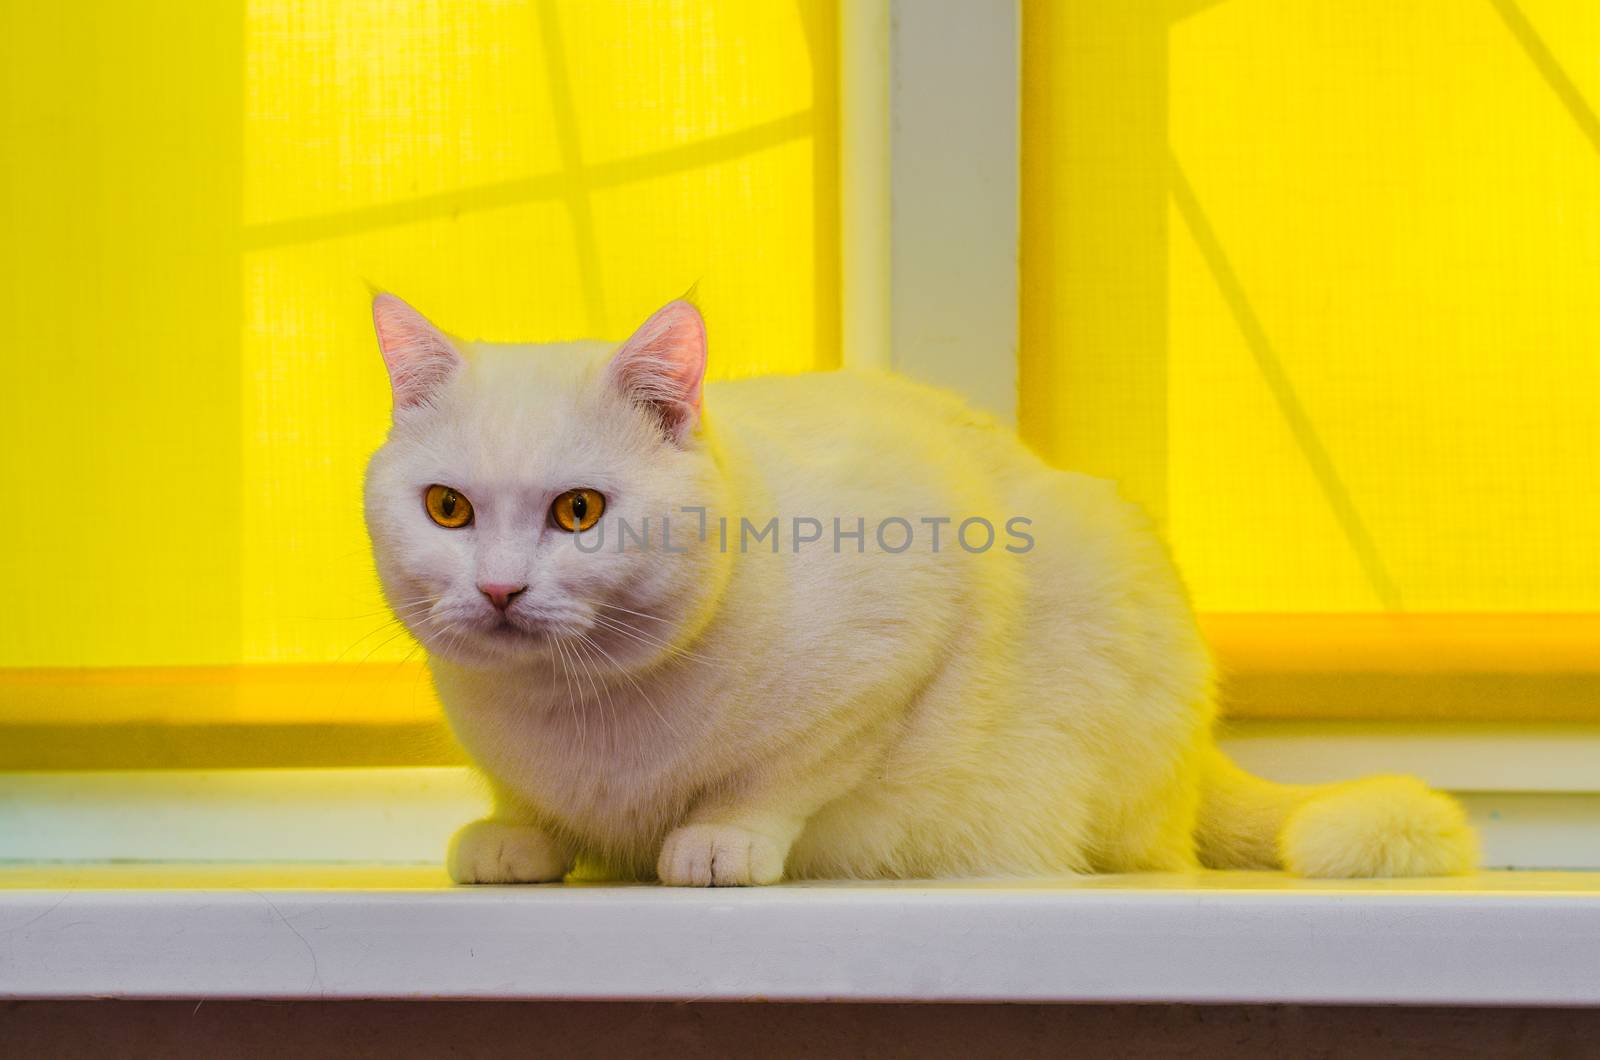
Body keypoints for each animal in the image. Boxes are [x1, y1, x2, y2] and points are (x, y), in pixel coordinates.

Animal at [363, 294, 1472, 883]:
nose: (500, 589)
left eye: (579, 511)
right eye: (448, 508)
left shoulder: (893, 649)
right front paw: (519, 837)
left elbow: (781, 776)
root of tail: (1200, 757)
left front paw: (719, 839)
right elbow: (524, 800)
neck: (575, 717)